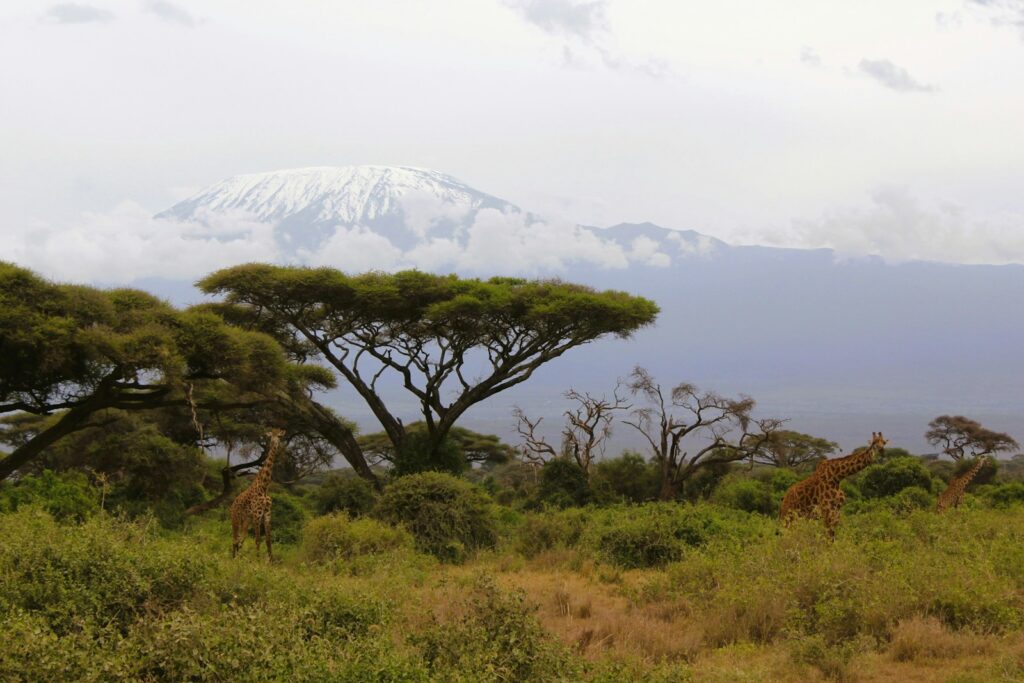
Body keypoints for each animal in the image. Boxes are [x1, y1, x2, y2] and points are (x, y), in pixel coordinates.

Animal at [229, 428, 284, 561]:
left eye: (279, 436)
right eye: (271, 436)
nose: (274, 444)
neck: (264, 487)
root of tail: (232, 505)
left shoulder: (267, 513)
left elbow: (268, 540)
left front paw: (271, 561)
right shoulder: (257, 514)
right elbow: (258, 539)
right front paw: (257, 560)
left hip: (246, 521)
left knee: (240, 539)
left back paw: (238, 558)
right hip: (235, 519)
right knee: (234, 539)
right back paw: (233, 559)